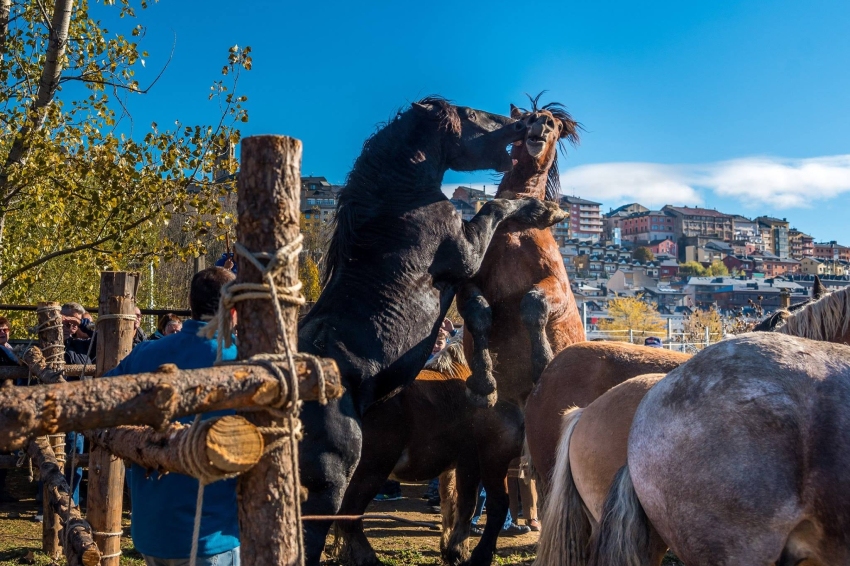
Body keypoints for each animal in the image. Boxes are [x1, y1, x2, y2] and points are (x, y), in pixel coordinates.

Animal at [458, 95, 584, 410]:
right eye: (525, 118)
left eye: (558, 126)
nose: (543, 122)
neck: (516, 224)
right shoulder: (469, 282)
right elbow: (478, 310)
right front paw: (483, 383)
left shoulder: (559, 286)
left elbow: (533, 302)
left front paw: (543, 363)